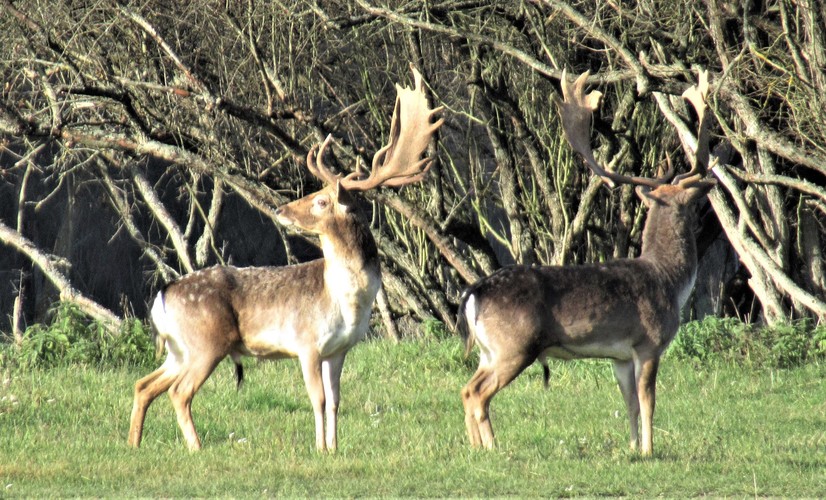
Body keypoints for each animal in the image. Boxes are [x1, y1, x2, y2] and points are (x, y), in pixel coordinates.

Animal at [125, 67, 440, 454]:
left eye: (321, 200)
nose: (281, 209)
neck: (345, 300)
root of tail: (163, 294)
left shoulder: (339, 349)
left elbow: (335, 400)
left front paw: (334, 447)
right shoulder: (305, 341)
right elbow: (317, 399)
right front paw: (319, 448)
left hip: (179, 349)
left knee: (145, 385)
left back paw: (135, 444)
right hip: (204, 343)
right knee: (178, 392)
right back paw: (196, 447)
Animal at [458, 70, 716, 458]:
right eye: (692, 203)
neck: (669, 282)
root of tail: (474, 292)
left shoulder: (620, 356)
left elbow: (629, 402)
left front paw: (631, 448)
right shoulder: (649, 342)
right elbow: (648, 401)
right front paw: (649, 450)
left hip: (488, 351)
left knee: (465, 388)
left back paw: (475, 447)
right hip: (514, 346)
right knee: (477, 393)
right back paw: (493, 448)